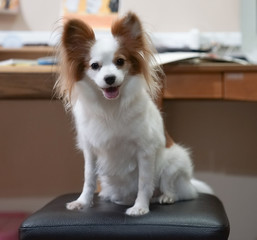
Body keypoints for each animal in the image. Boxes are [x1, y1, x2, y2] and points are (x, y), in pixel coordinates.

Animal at [54, 12, 212, 217]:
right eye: (95, 66)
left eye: (120, 62)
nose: (110, 78)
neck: (110, 106)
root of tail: (190, 185)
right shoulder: (91, 152)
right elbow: (88, 180)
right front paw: (82, 202)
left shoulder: (145, 151)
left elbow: (144, 183)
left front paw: (140, 207)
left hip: (174, 162)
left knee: (175, 189)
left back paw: (165, 197)